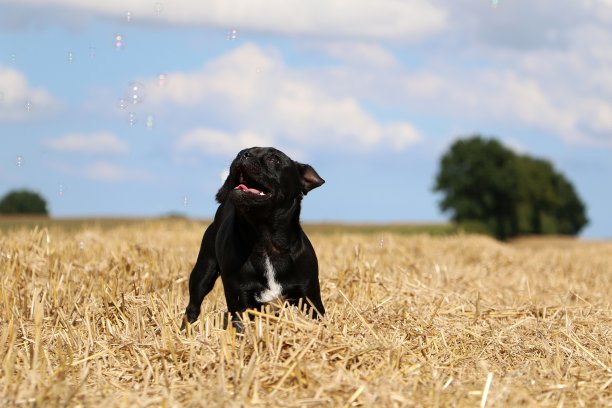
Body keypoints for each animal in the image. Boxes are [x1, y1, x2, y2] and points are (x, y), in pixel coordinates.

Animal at [182, 147, 326, 328]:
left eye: (274, 159)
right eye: (242, 152)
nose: (243, 155)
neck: (266, 240)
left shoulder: (311, 298)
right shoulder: (240, 301)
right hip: (203, 272)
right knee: (192, 307)